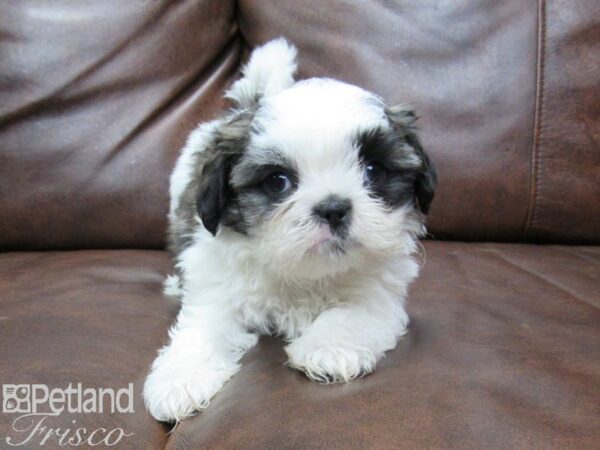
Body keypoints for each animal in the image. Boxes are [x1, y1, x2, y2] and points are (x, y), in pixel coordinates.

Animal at [144, 37, 436, 422]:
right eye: (278, 181)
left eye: (373, 170)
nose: (333, 208)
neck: (303, 273)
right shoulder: (218, 287)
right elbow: (202, 326)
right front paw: (181, 379)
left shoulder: (380, 294)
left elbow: (354, 313)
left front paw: (329, 347)